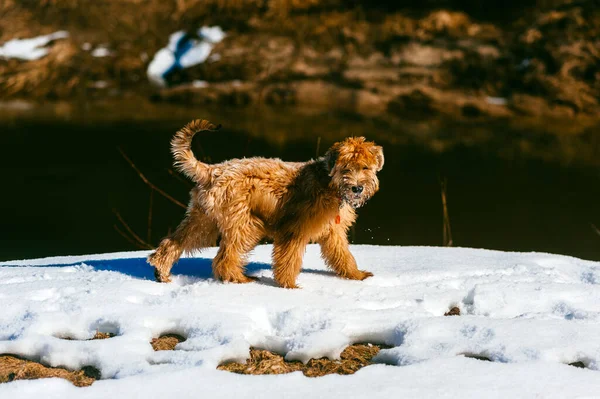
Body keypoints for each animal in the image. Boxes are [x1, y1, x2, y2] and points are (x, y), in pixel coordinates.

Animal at [148, 119, 386, 288]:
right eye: (346, 168)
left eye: (365, 167)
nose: (357, 188)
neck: (328, 182)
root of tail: (212, 170)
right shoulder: (295, 229)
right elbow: (289, 259)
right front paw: (289, 285)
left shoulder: (333, 231)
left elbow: (343, 255)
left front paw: (356, 275)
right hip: (245, 225)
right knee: (225, 257)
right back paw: (239, 279)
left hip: (202, 221)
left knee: (173, 243)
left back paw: (161, 271)